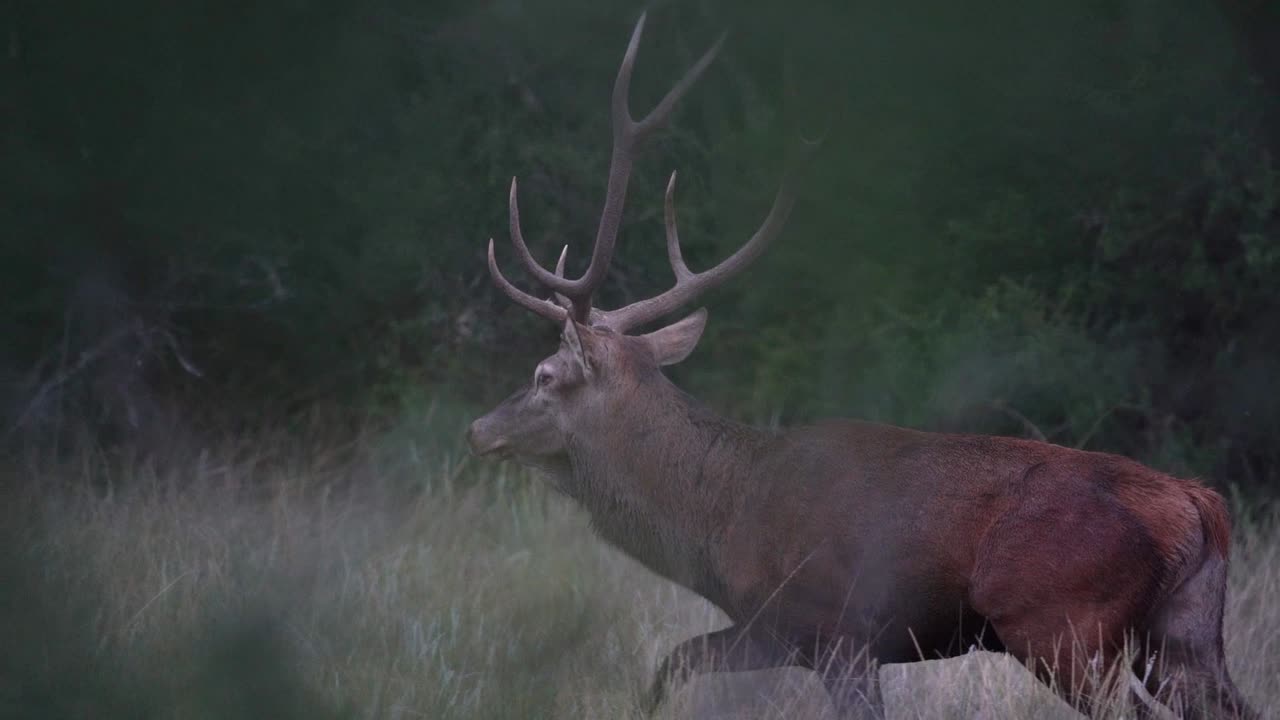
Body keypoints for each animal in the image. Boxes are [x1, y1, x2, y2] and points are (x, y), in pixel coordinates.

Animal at [465, 13, 1258, 720]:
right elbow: (672, 663)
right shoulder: (774, 629)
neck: (718, 515)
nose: (477, 429)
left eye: (543, 376)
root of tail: (1200, 506)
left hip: (1063, 622)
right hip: (1185, 634)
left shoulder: (833, 627)